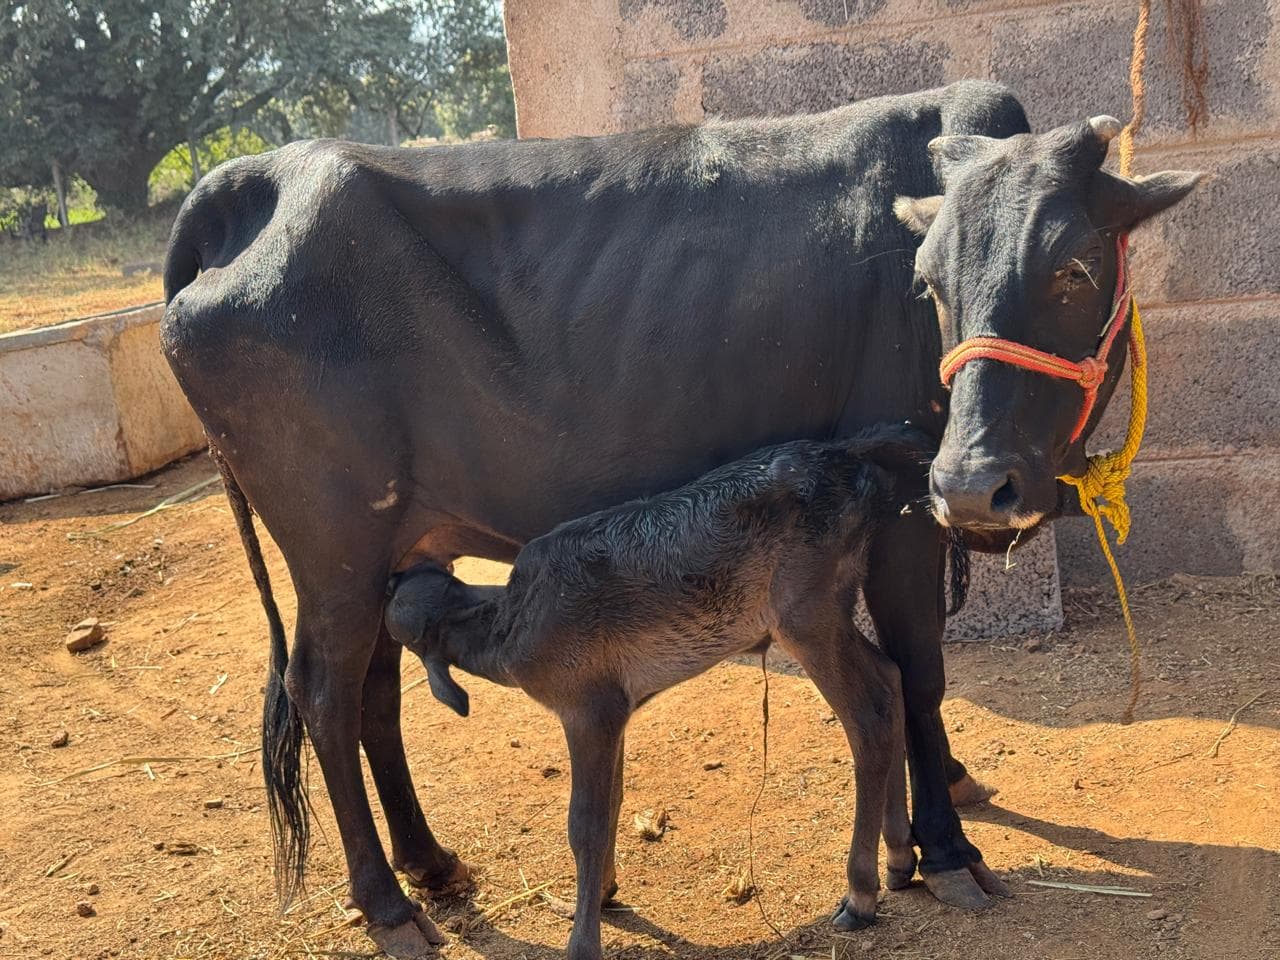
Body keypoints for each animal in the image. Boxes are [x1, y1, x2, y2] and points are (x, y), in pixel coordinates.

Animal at [160, 79, 1199, 957]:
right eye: (930, 280)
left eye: (1075, 267)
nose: (977, 483)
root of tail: (257, 179)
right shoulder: (909, 520)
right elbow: (922, 673)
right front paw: (942, 852)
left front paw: (922, 820)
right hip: (331, 549)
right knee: (326, 696)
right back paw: (388, 906)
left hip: (390, 549)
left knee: (377, 691)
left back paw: (432, 864)